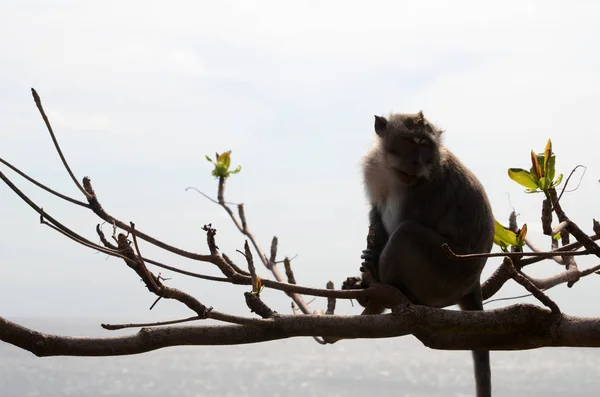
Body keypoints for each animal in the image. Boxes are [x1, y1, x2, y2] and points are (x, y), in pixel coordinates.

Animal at [358, 110, 494, 396]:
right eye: (411, 141)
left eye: (425, 144)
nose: (417, 161)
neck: (393, 173)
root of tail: (473, 283)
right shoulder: (374, 170)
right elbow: (376, 212)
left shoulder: (428, 189)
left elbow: (400, 223)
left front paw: (373, 266)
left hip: (446, 275)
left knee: (406, 233)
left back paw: (388, 292)